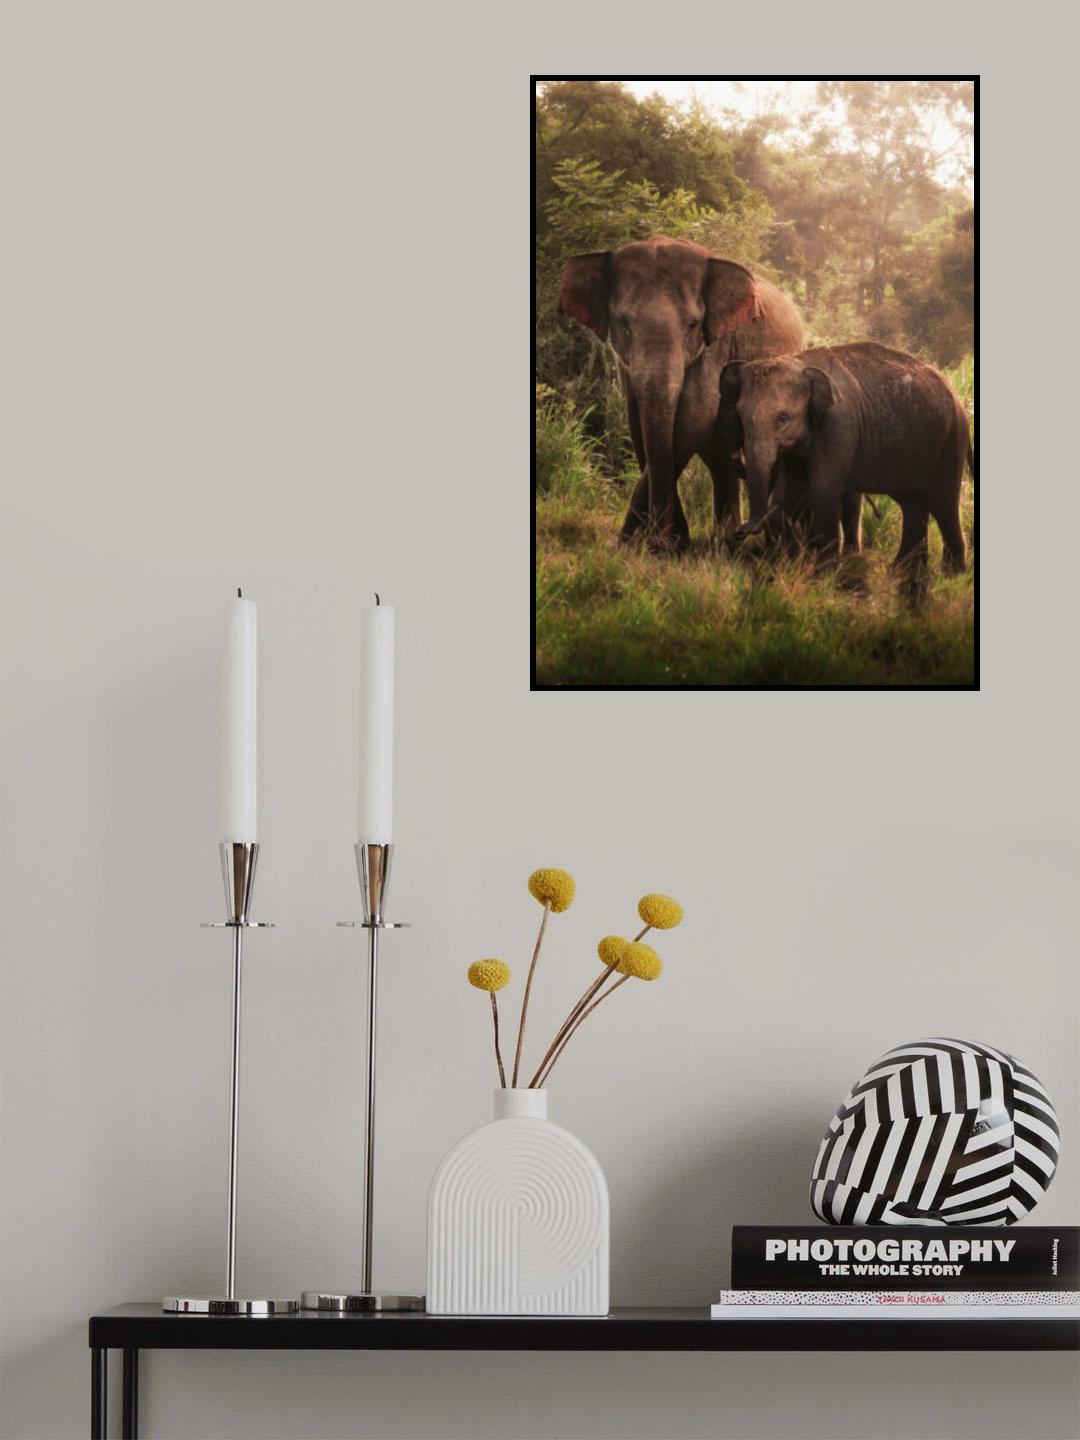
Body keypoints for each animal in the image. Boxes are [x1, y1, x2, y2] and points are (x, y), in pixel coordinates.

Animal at [558, 236, 805, 552]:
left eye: (692, 325)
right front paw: (658, 544)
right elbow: (639, 427)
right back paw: (725, 542)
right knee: (720, 462)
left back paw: (728, 545)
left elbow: (690, 422)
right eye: (623, 323)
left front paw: (644, 545)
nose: (660, 541)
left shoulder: (716, 348)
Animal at [719, 342, 975, 594]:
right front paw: (791, 567)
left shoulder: (838, 424)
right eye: (740, 417)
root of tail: (957, 398)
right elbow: (786, 496)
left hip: (952, 439)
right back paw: (903, 570)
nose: (741, 531)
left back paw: (951, 575)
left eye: (782, 418)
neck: (800, 361)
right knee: (913, 502)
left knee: (942, 503)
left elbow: (823, 489)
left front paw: (822, 578)